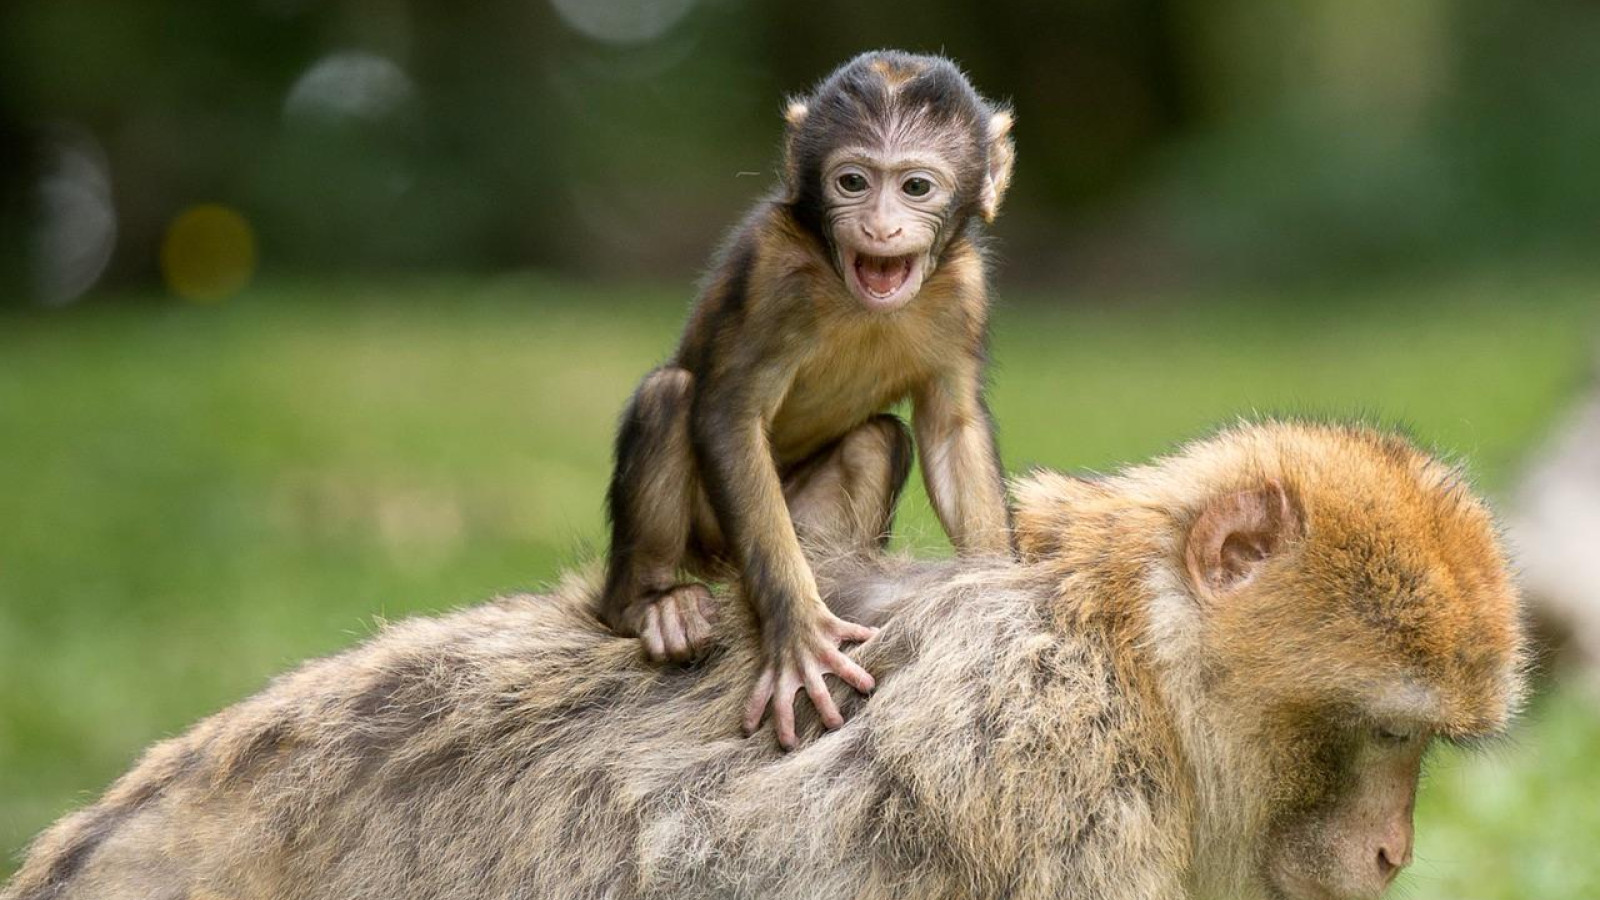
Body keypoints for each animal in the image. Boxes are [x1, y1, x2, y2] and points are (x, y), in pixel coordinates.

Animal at [601, 47, 1011, 743]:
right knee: (671, 396)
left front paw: (996, 597)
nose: (880, 227)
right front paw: (796, 633)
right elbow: (729, 415)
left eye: (915, 187)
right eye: (853, 182)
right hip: (711, 537)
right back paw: (650, 604)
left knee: (878, 440)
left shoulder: (965, 290)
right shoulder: (774, 273)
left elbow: (950, 428)